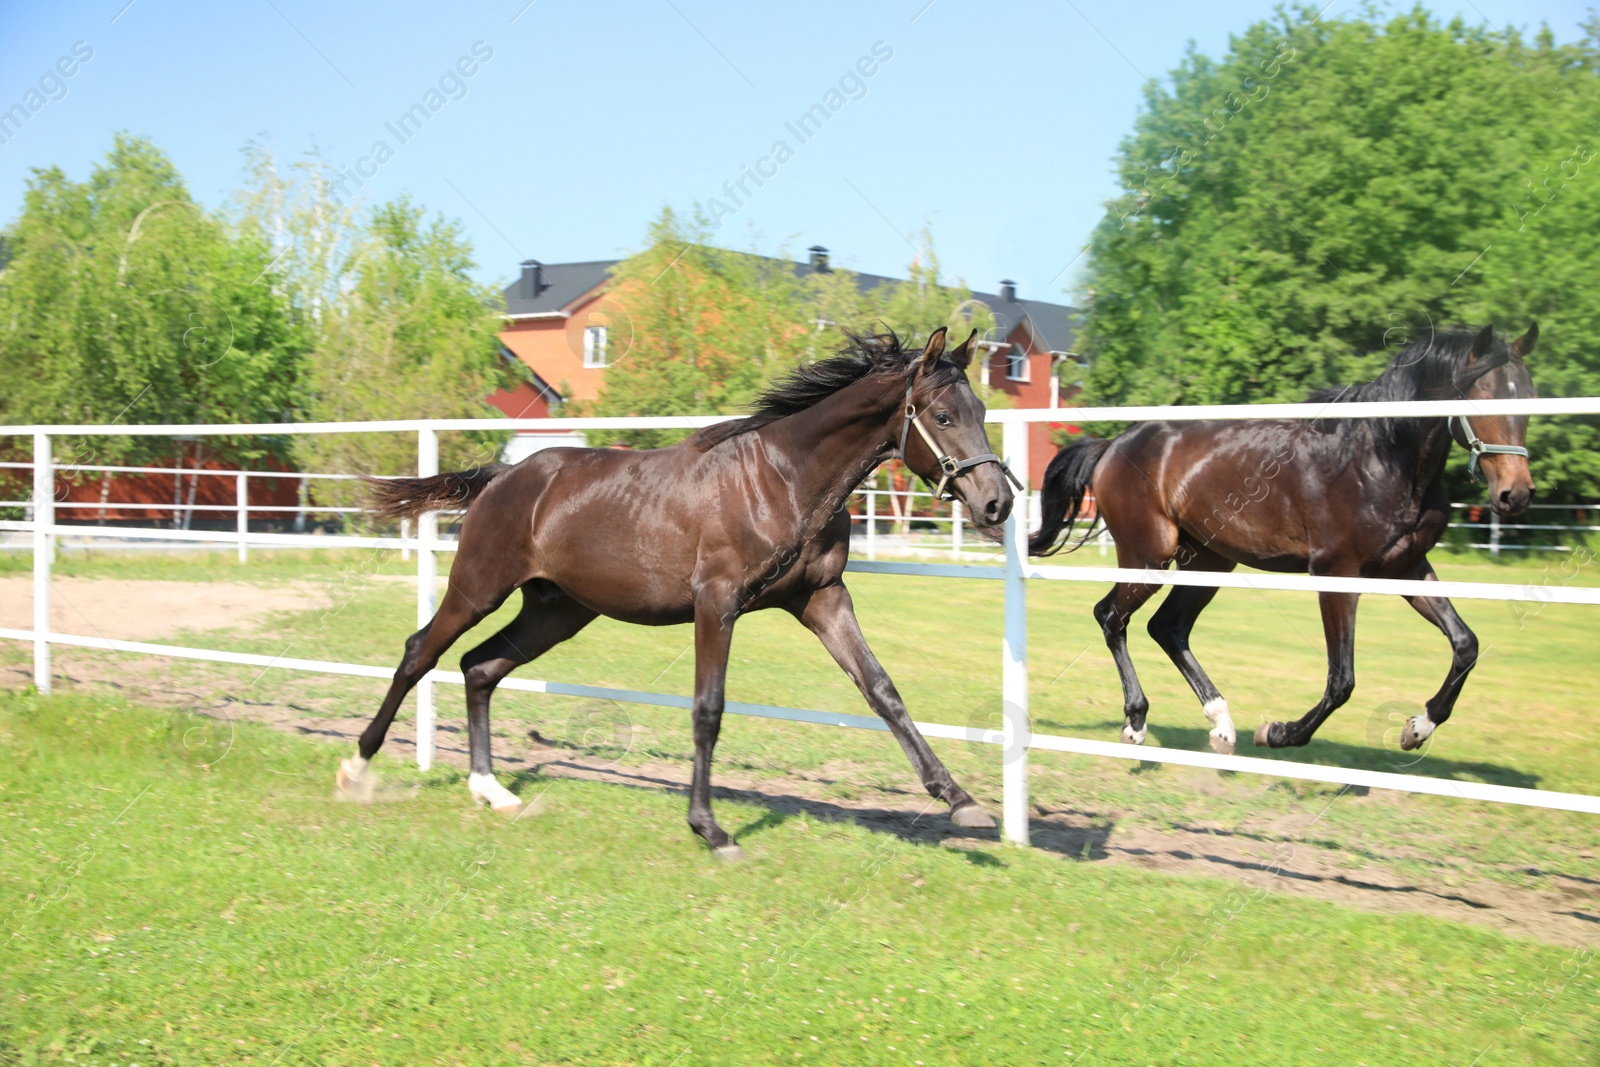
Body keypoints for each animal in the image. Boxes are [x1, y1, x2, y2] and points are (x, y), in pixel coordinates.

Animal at [337, 329, 1011, 857]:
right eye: (944, 417)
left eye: (980, 411)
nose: (996, 503)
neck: (783, 479)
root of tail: (504, 476)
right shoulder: (717, 604)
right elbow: (707, 709)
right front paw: (711, 830)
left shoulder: (822, 598)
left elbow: (881, 690)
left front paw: (961, 801)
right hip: (478, 588)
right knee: (420, 652)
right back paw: (358, 769)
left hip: (557, 611)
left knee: (479, 667)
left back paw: (492, 791)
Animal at [1024, 326, 1536, 758]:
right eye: (1483, 398)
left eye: (1529, 397)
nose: (1516, 494)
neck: (1380, 457)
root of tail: (1113, 444)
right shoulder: (1336, 573)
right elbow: (1342, 679)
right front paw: (1280, 733)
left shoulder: (1407, 568)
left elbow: (1465, 644)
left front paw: (1418, 727)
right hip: (1148, 556)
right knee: (1112, 616)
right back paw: (1136, 722)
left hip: (1208, 561)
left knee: (1167, 627)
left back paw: (1221, 724)